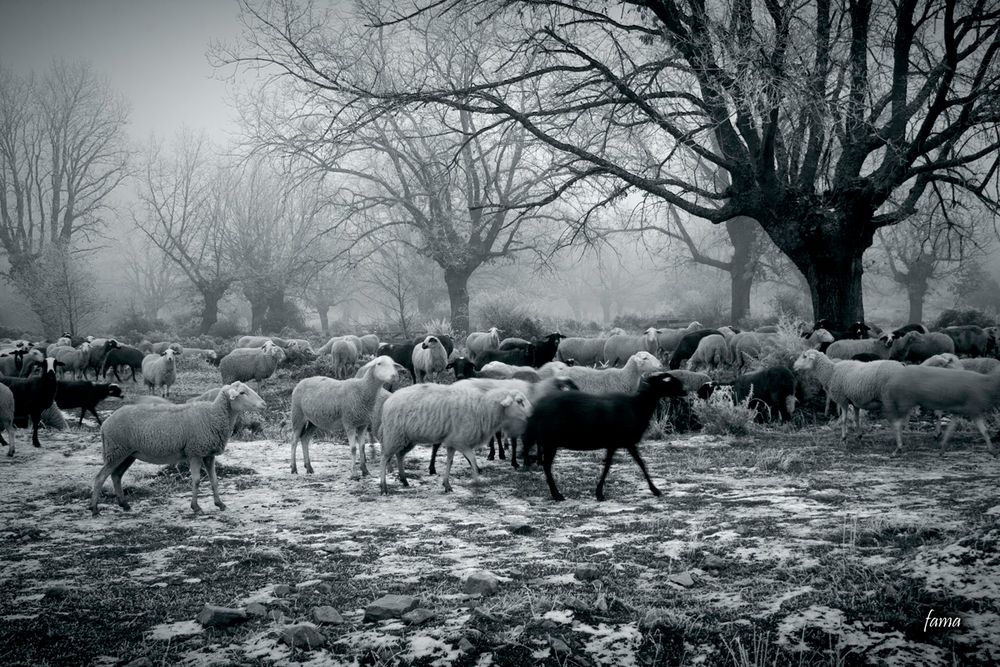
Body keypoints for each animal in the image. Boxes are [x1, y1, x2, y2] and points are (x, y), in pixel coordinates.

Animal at [90, 380, 266, 516]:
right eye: (242, 392)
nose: (263, 404)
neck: (213, 415)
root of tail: (105, 424)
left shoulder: (208, 454)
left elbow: (214, 480)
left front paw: (220, 504)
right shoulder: (195, 452)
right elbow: (196, 480)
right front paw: (196, 507)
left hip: (128, 453)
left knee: (116, 476)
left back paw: (124, 504)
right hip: (116, 450)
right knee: (100, 477)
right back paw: (95, 509)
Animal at [376, 380, 532, 496]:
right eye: (519, 401)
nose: (532, 414)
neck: (483, 409)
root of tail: (389, 400)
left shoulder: (452, 441)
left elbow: (449, 462)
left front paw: (447, 485)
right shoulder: (460, 441)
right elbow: (473, 460)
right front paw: (477, 482)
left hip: (407, 438)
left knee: (400, 455)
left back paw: (404, 480)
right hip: (394, 435)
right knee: (384, 458)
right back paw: (384, 487)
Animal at [524, 370, 688, 500]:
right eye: (668, 382)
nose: (685, 391)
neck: (637, 406)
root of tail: (536, 409)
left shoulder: (618, 443)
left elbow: (621, 464)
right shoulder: (623, 441)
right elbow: (628, 465)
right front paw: (655, 490)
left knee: (546, 465)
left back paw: (555, 493)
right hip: (550, 442)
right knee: (547, 466)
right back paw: (557, 495)